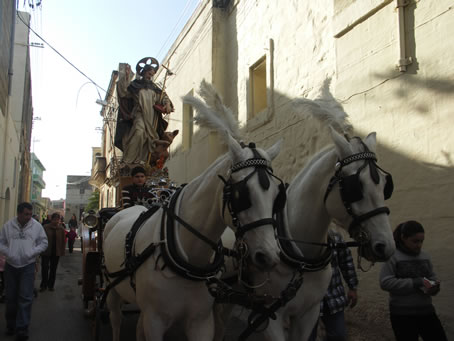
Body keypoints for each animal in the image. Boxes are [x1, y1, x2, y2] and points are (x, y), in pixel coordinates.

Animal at [103, 82, 286, 340]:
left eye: (278, 195)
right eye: (241, 194)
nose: (269, 256)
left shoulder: (201, 320)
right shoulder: (155, 320)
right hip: (112, 287)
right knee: (116, 318)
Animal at [225, 93, 396, 340]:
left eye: (385, 185)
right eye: (355, 187)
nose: (386, 246)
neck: (301, 258)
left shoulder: (309, 312)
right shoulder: (269, 316)